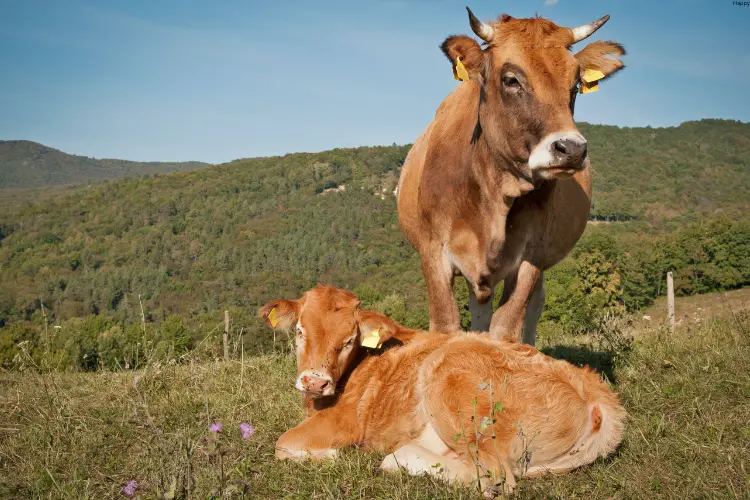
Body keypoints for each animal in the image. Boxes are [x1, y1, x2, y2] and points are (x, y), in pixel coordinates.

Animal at [262, 286, 624, 492]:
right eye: (300, 332)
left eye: (349, 340)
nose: (315, 381)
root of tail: (594, 389)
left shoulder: (344, 421)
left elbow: (282, 444)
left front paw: (333, 455)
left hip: (449, 379)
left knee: (494, 475)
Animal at [400, 8, 628, 344]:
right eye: (511, 79)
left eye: (575, 84)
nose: (571, 149)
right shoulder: (432, 252)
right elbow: (445, 326)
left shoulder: (532, 255)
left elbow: (506, 329)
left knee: (534, 305)